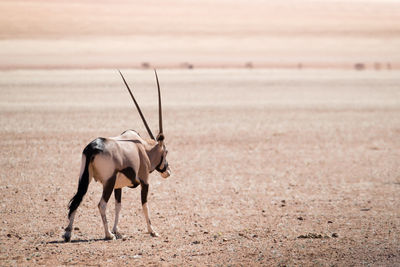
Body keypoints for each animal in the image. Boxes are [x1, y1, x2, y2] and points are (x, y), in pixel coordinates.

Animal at [63, 69, 170, 243]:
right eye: (166, 152)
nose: (168, 171)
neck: (143, 148)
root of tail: (93, 147)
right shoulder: (145, 182)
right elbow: (144, 205)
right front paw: (152, 231)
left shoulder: (118, 187)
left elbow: (118, 206)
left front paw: (117, 230)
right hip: (108, 181)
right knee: (101, 204)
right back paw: (108, 235)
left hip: (85, 179)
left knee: (77, 200)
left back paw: (68, 233)